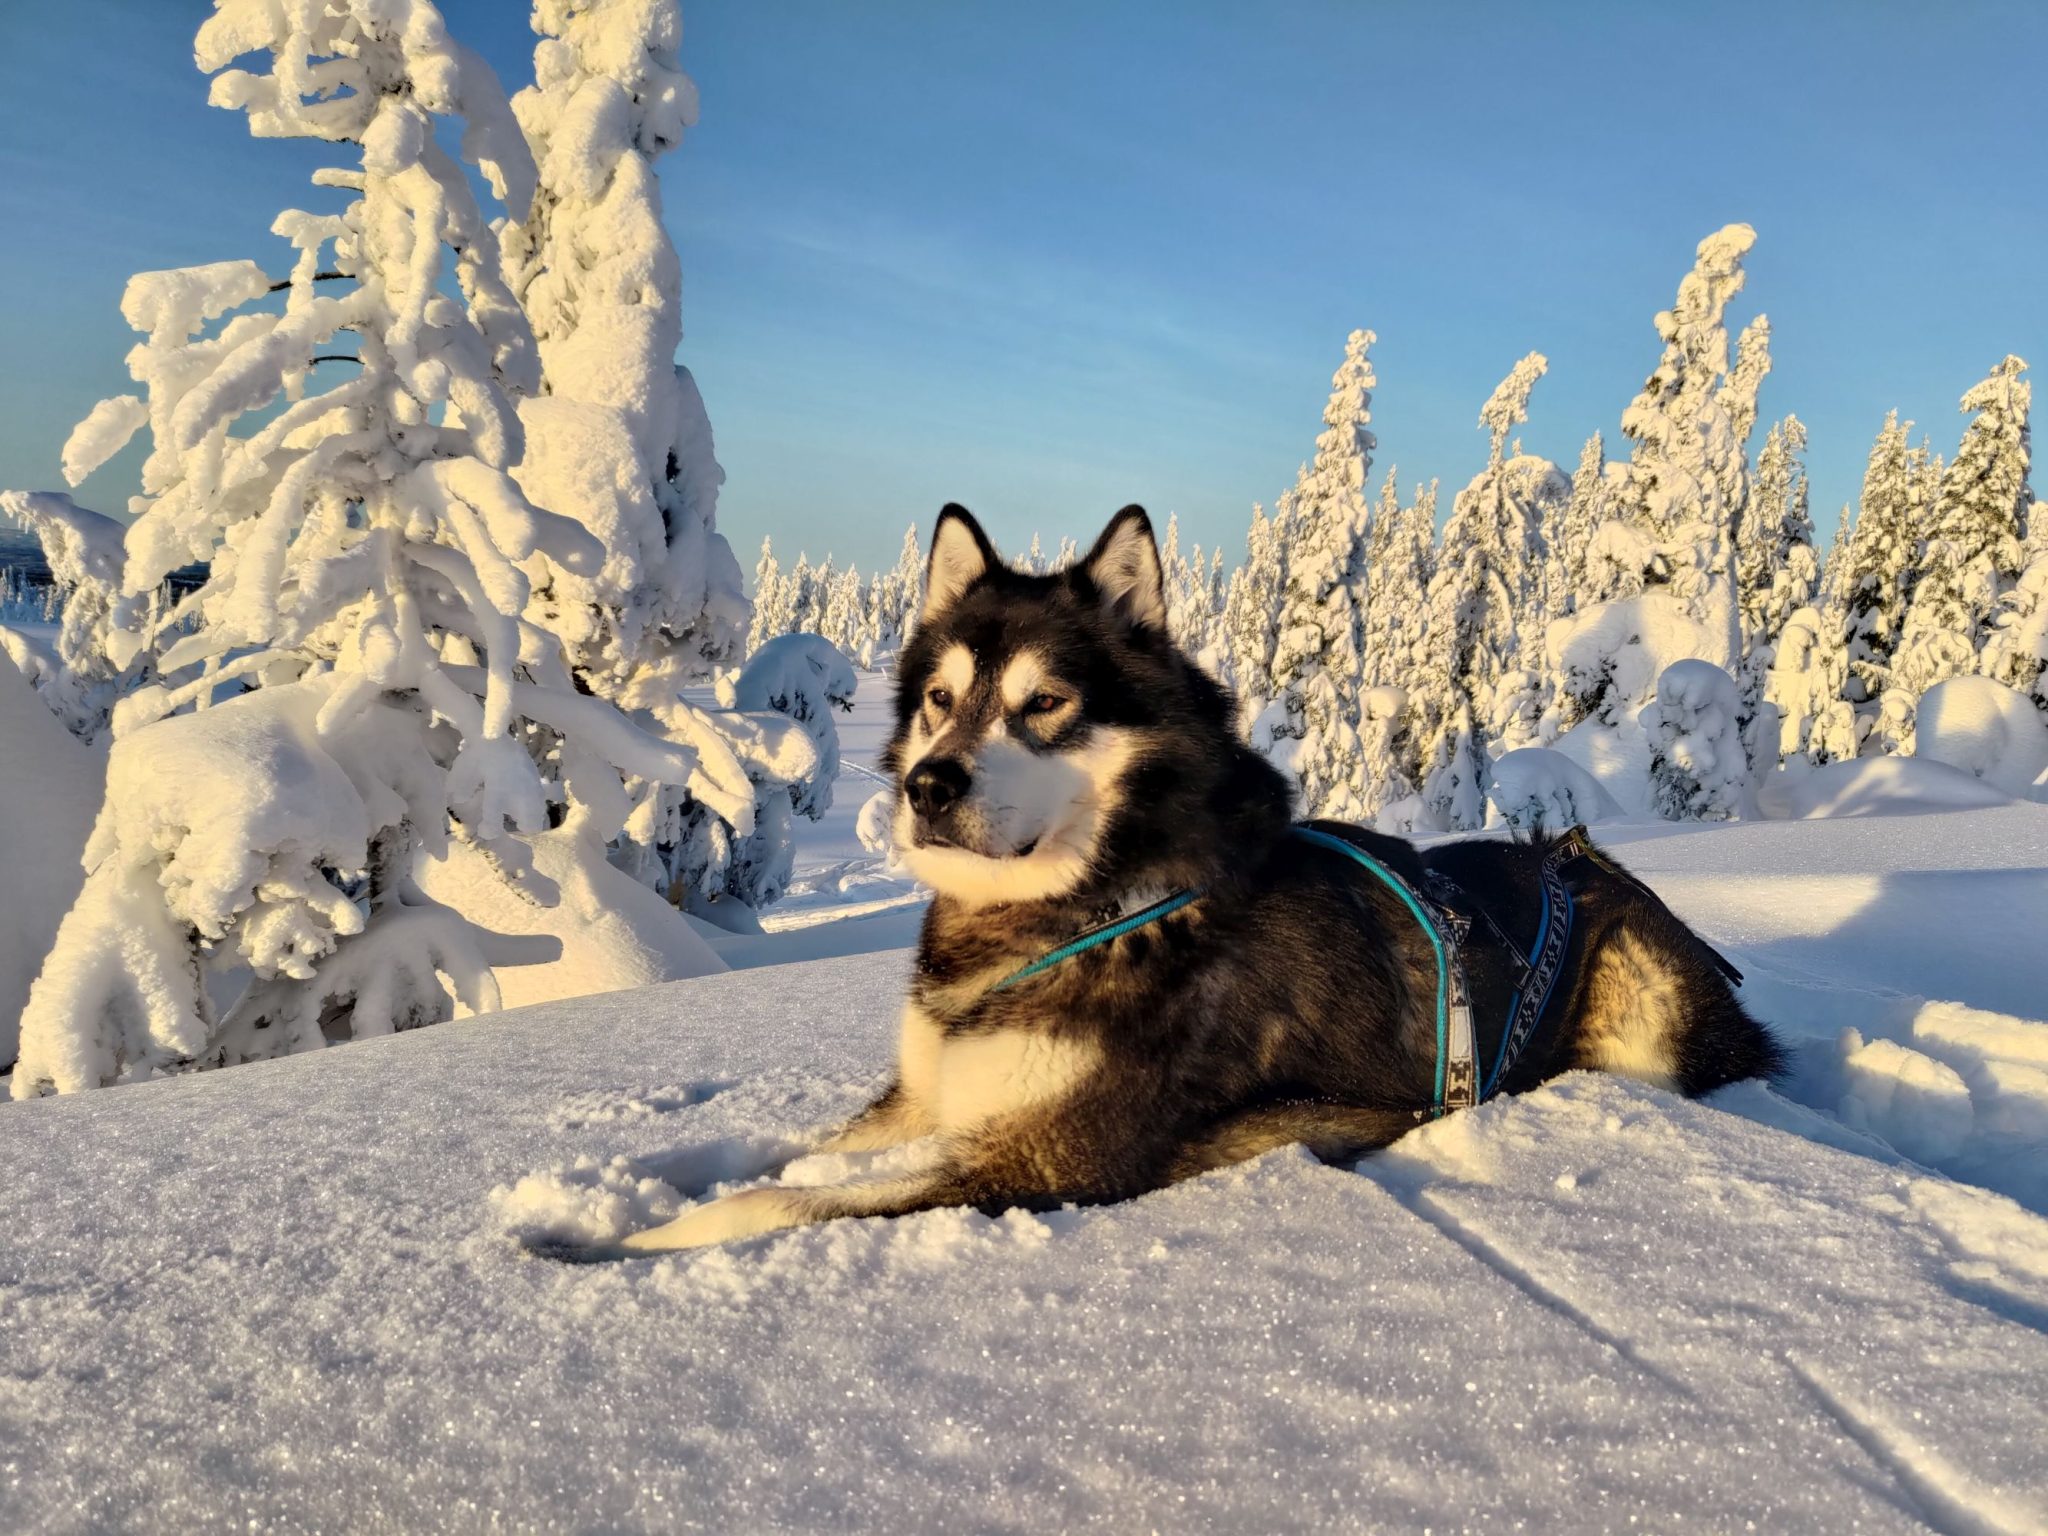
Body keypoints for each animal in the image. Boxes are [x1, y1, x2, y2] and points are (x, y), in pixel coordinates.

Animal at [602, 512, 1777, 1253]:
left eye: (1045, 703)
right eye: (938, 698)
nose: (927, 786)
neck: (1089, 908)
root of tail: (1580, 854)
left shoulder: (1042, 1163)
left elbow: (767, 1204)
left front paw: (621, 1247)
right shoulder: (930, 1100)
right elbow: (769, 1153)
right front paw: (613, 1189)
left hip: (1645, 1014)